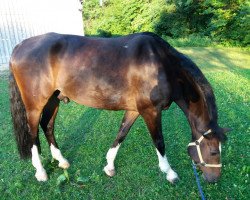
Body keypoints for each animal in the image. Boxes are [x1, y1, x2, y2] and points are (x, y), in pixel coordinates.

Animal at [9, 32, 229, 183]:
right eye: (213, 152)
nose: (215, 179)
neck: (162, 65)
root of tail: (19, 46)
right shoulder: (150, 111)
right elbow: (159, 142)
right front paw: (170, 173)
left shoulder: (134, 110)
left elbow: (121, 134)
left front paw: (109, 166)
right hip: (34, 105)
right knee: (33, 133)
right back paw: (40, 172)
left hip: (54, 99)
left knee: (47, 125)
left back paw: (61, 160)